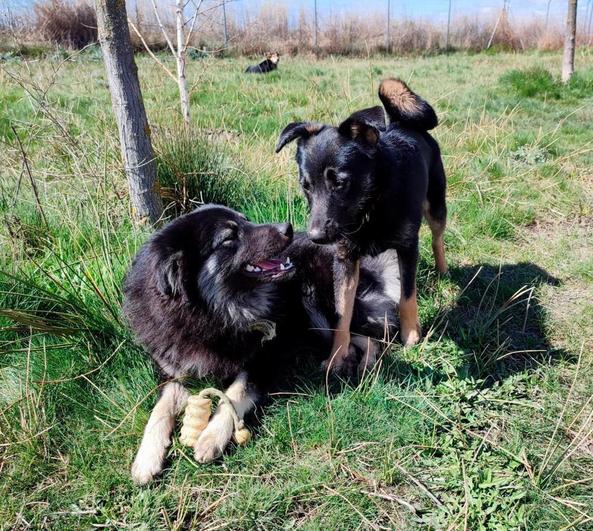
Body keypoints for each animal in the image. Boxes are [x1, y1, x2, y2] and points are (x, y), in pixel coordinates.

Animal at [123, 205, 398, 486]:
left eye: (246, 220)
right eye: (229, 237)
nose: (287, 227)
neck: (213, 313)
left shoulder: (264, 360)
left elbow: (235, 393)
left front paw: (211, 437)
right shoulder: (174, 372)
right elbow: (159, 410)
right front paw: (146, 458)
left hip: (318, 304)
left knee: (369, 336)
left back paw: (359, 364)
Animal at [276, 79, 446, 376]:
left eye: (340, 182)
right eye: (306, 186)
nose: (315, 237)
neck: (370, 206)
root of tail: (403, 124)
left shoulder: (408, 248)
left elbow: (407, 295)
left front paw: (411, 334)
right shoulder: (345, 260)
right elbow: (341, 314)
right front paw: (337, 355)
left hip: (436, 206)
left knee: (437, 237)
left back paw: (443, 269)